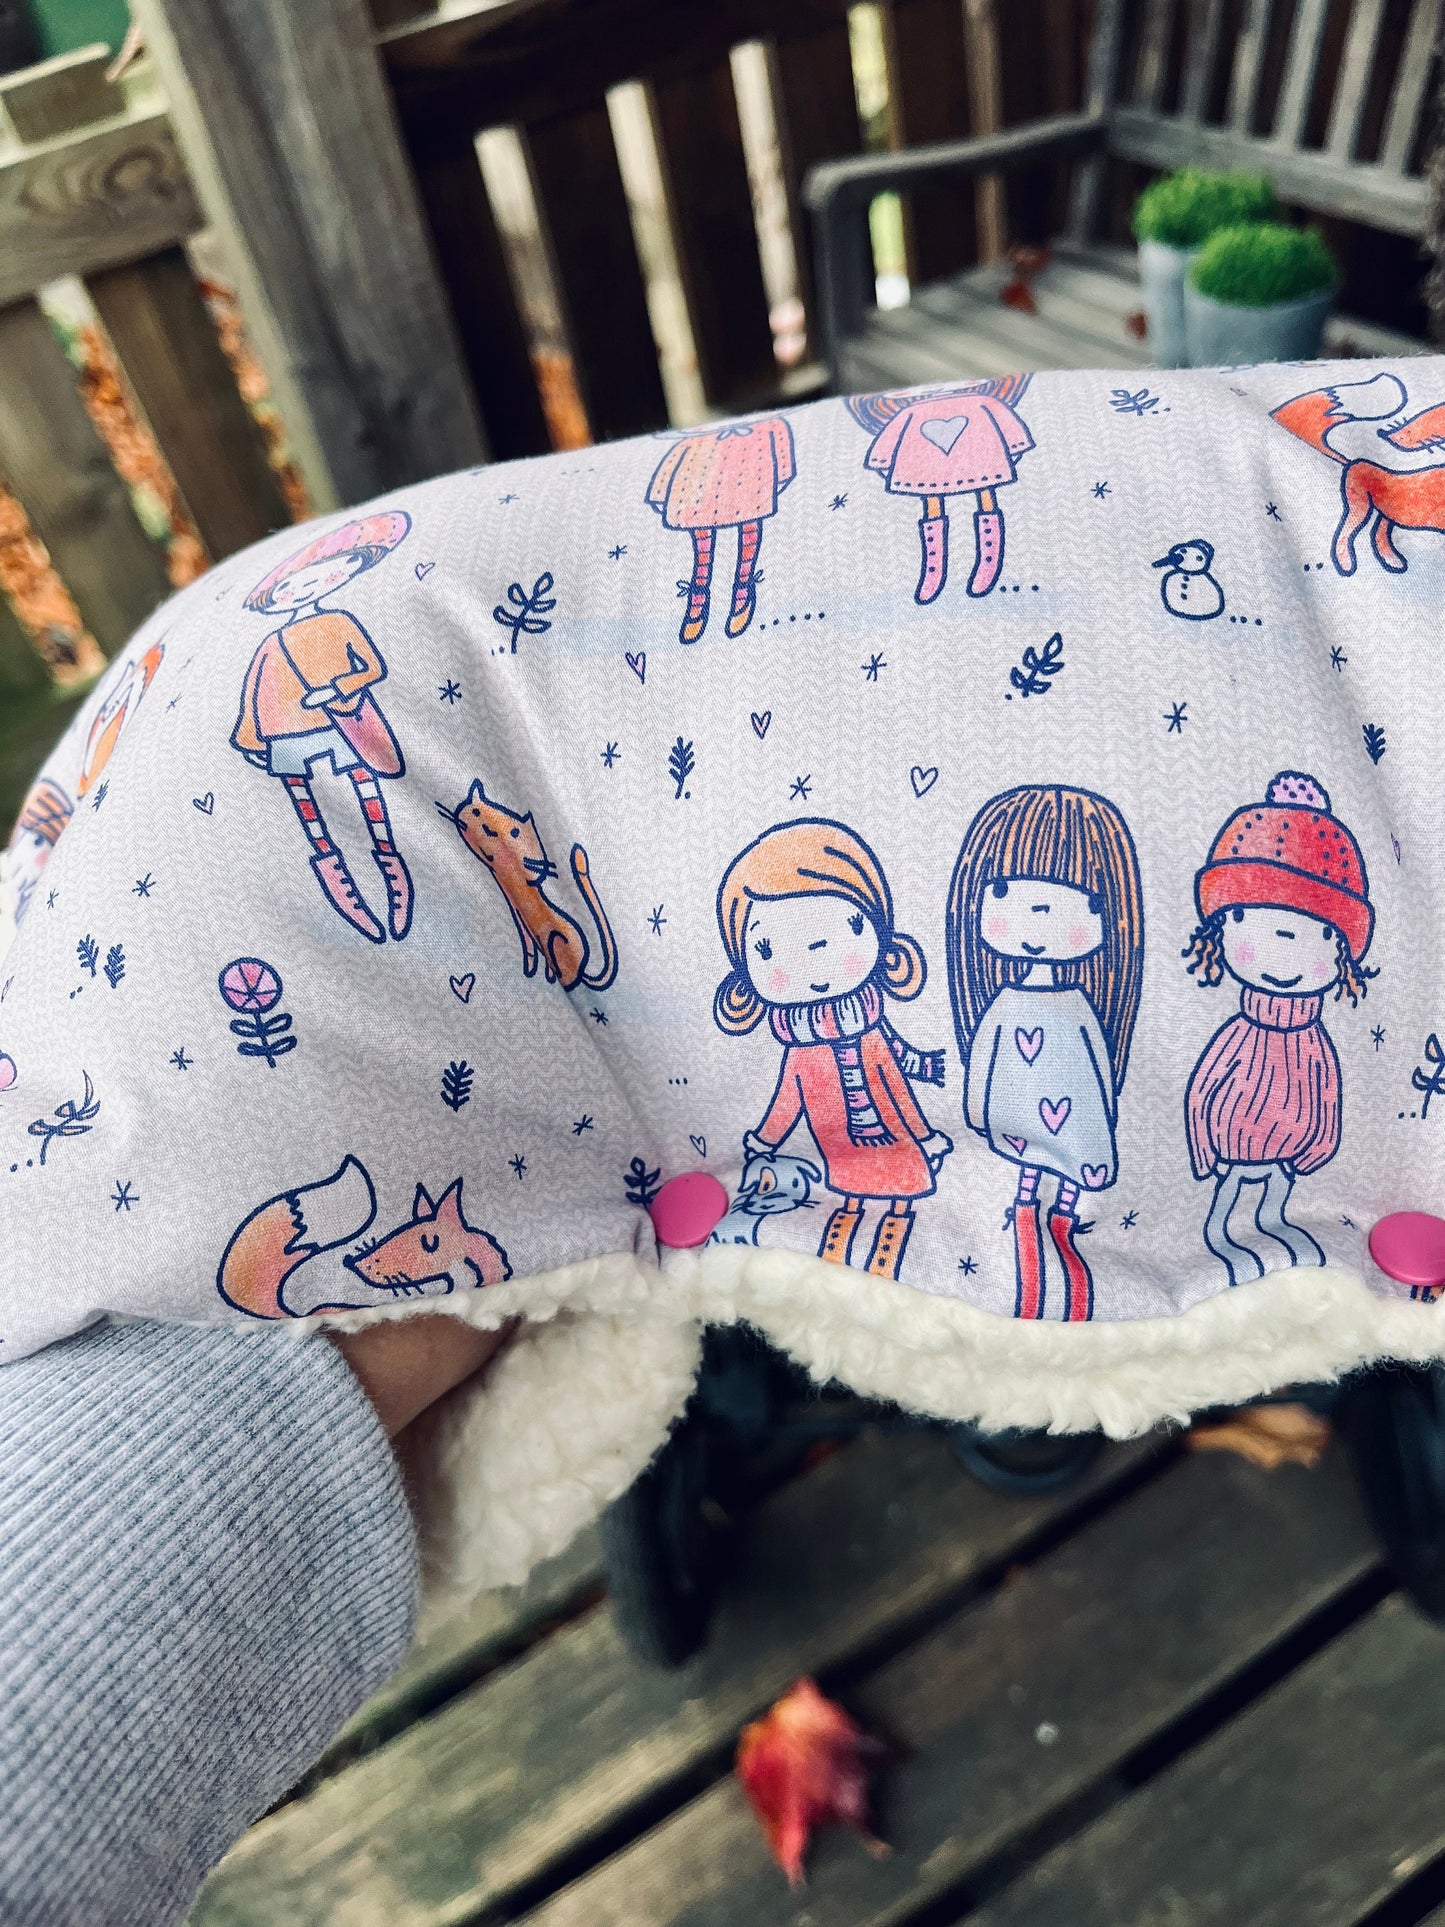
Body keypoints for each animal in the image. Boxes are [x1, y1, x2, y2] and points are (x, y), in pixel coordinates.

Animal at [439, 778, 618, 992]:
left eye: (515, 832)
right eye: (475, 812)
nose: (490, 830)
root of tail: (582, 971)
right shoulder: (518, 914)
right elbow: (530, 949)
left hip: (557, 939)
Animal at [1272, 373, 1445, 577]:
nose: (1387, 434)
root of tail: (1353, 462)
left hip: (1384, 515)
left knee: (1378, 533)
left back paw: (1392, 560)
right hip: (1358, 507)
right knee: (1347, 533)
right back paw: (1347, 562)